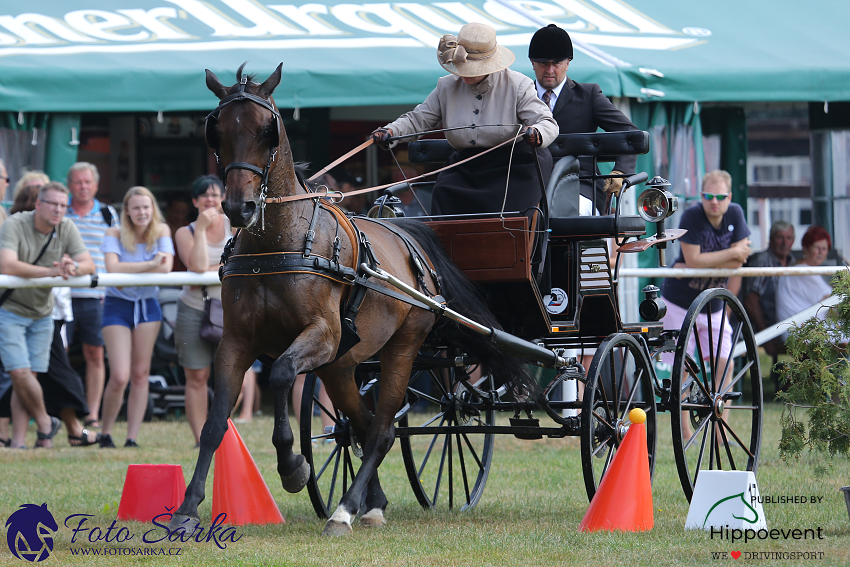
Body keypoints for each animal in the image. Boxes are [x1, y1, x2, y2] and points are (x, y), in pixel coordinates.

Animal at [169, 64, 528, 540]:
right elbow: (213, 425)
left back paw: (344, 510)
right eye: (218, 130)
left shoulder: (321, 335)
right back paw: (370, 504)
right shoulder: (236, 342)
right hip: (341, 365)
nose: (237, 207)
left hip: (400, 349)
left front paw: (293, 467)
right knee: (362, 423)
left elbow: (281, 374)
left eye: (268, 130)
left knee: (381, 430)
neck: (279, 241)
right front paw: (187, 508)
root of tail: (411, 237)